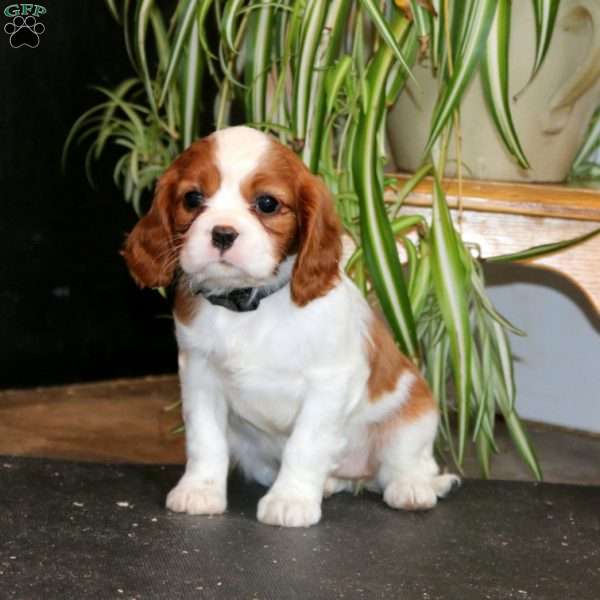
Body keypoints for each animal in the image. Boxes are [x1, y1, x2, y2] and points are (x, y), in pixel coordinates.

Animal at [123, 125, 460, 524]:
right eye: (192, 198)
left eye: (267, 203)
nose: (222, 233)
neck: (249, 305)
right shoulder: (199, 375)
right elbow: (205, 439)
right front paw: (200, 491)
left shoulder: (330, 382)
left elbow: (306, 443)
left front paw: (291, 499)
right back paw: (330, 484)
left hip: (414, 411)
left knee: (407, 463)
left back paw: (412, 488)